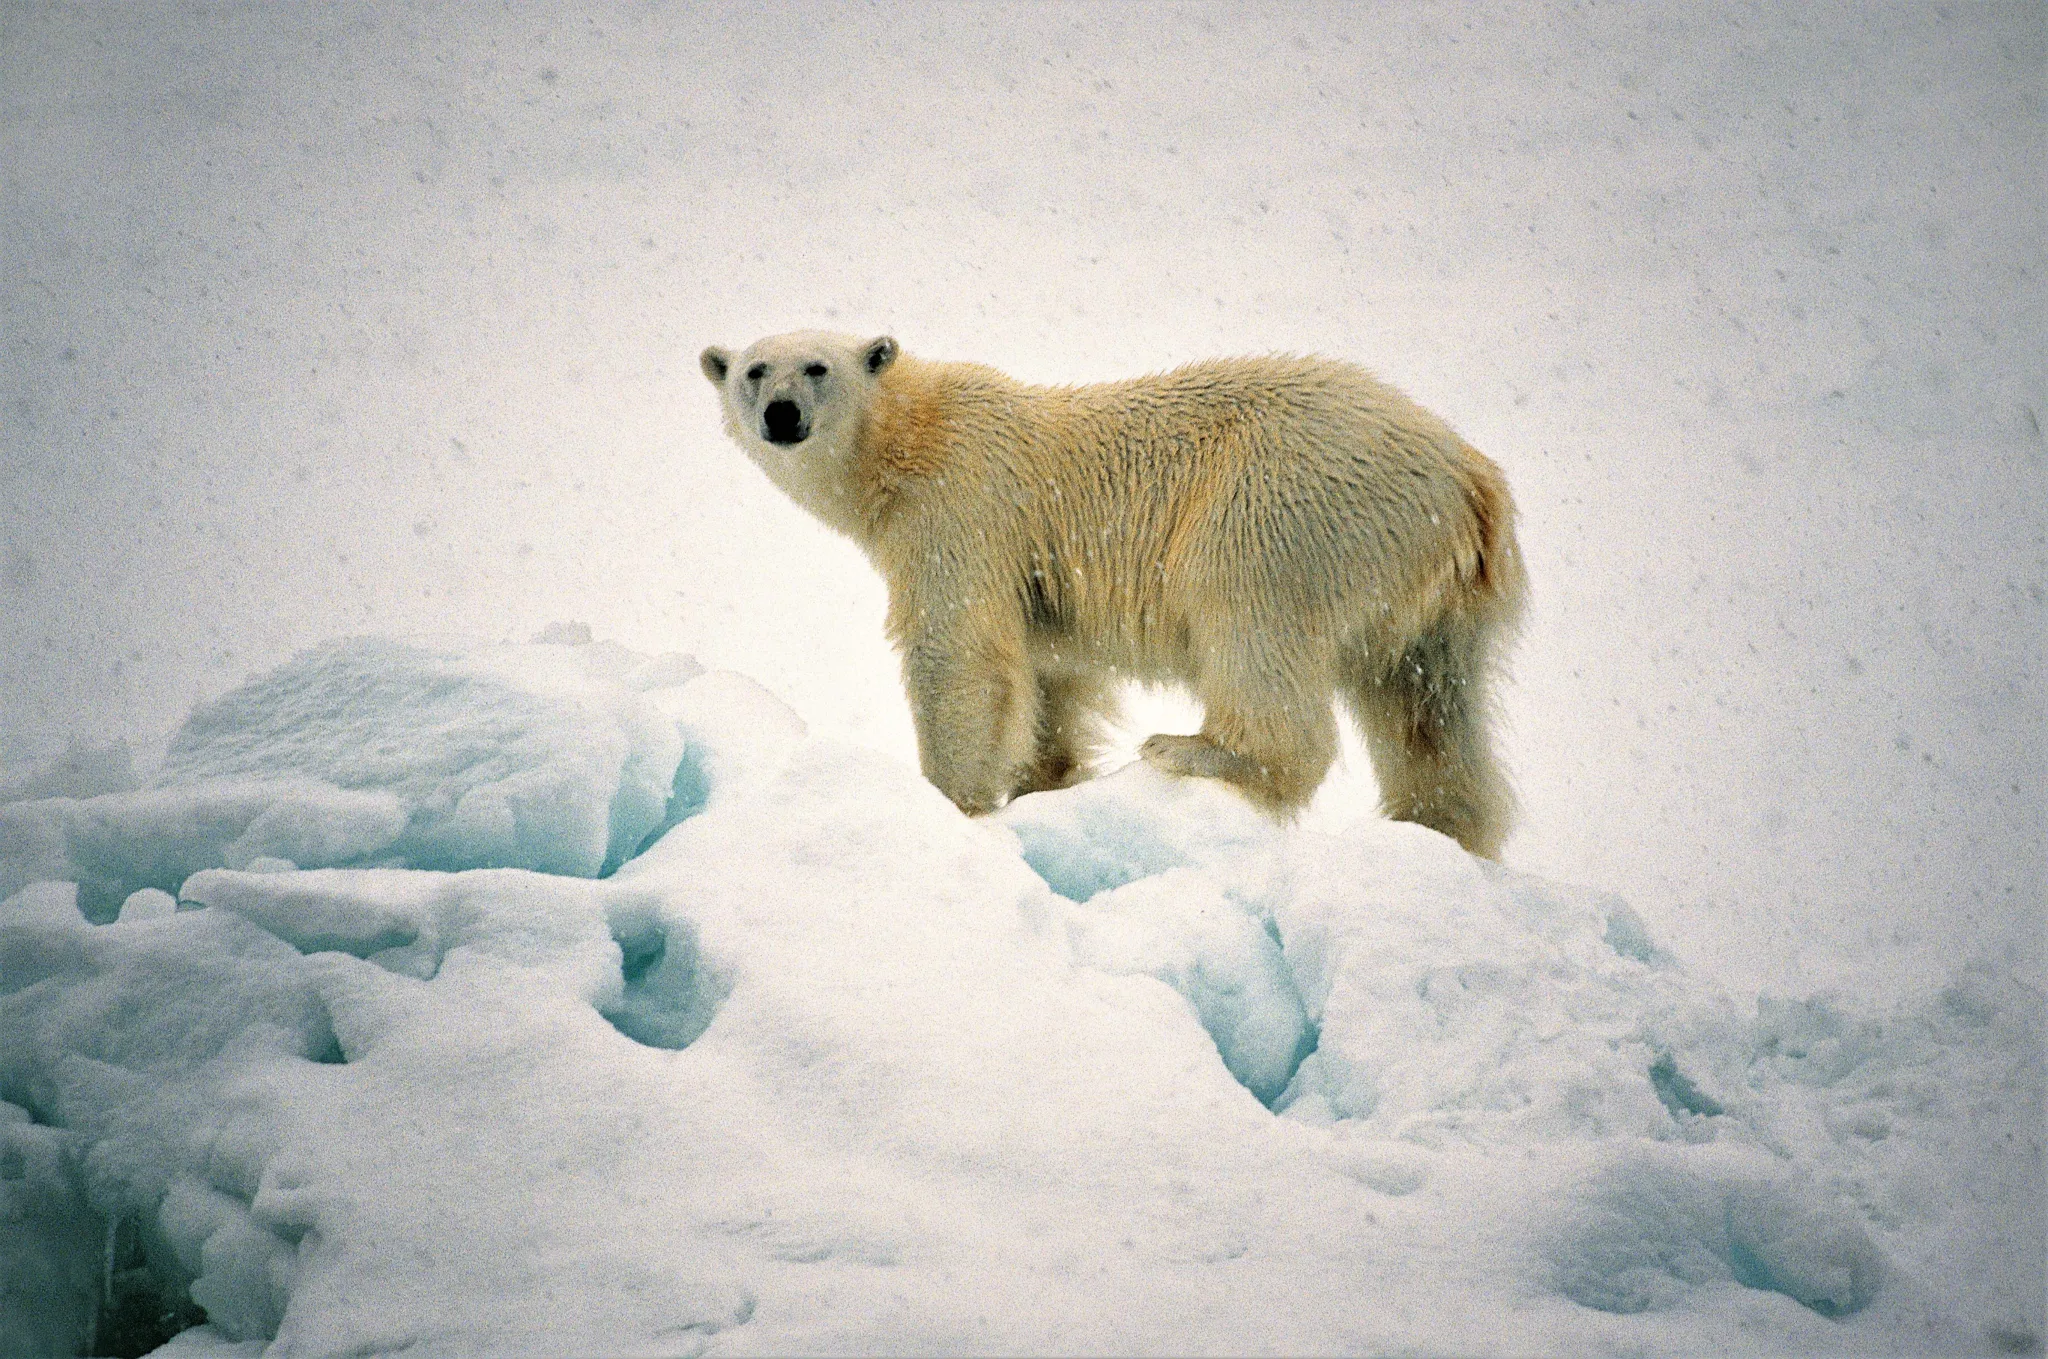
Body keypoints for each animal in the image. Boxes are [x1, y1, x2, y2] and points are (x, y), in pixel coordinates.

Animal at [700, 331, 1527, 858]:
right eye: (754, 370)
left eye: (816, 367)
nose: (781, 413)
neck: (909, 437)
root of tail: (1469, 474)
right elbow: (1051, 678)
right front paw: (1042, 781)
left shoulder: (958, 507)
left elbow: (958, 654)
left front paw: (951, 800)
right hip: (1433, 592)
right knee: (1428, 707)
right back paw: (1438, 827)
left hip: (1289, 503)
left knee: (1248, 615)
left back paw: (1198, 748)